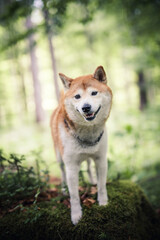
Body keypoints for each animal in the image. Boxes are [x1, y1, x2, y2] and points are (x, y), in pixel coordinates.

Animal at [50, 66, 112, 225]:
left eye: (94, 93)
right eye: (77, 96)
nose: (86, 107)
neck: (87, 134)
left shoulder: (101, 159)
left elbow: (102, 186)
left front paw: (103, 203)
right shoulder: (71, 166)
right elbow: (74, 196)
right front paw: (76, 215)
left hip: (90, 158)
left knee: (89, 167)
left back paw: (92, 181)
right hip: (59, 158)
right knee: (62, 174)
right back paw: (64, 189)